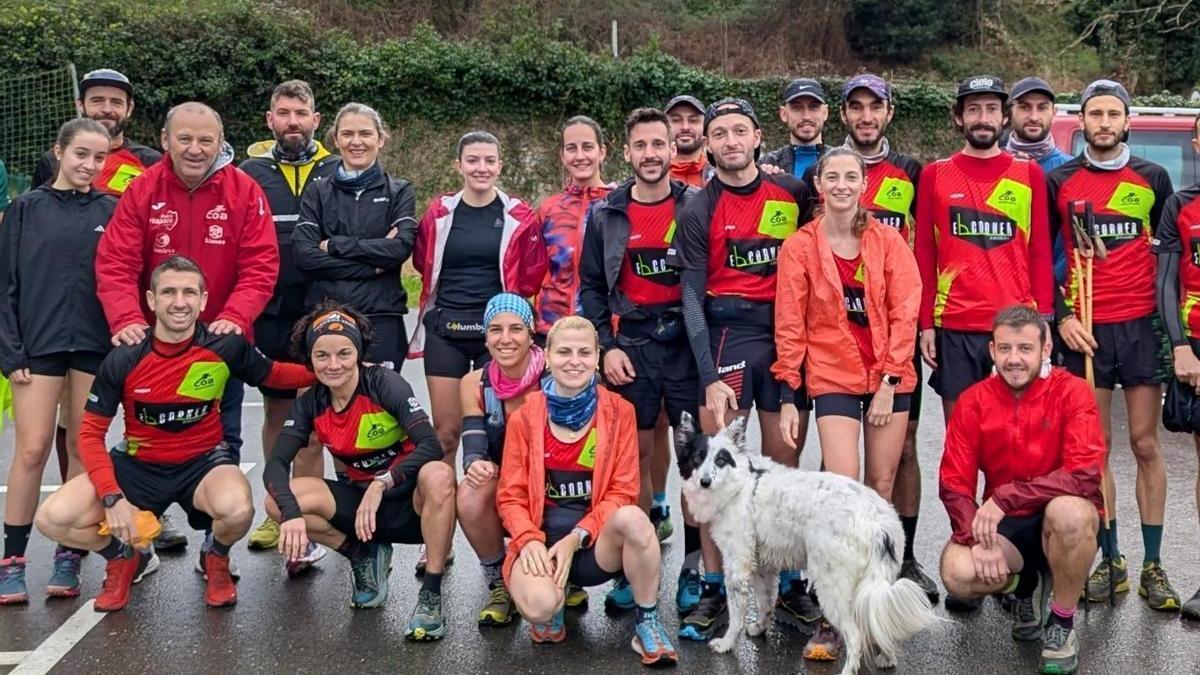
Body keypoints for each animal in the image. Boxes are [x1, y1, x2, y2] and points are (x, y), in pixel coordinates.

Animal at [676, 410, 936, 672]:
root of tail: (875, 522)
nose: (705, 482)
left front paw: (727, 643)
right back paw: (887, 657)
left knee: (856, 634)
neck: (743, 484)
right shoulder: (762, 566)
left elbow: (736, 612)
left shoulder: (737, 566)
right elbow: (765, 601)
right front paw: (760, 626)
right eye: (697, 458)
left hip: (832, 587)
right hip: (874, 584)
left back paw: (848, 670)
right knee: (877, 621)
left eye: (720, 460)